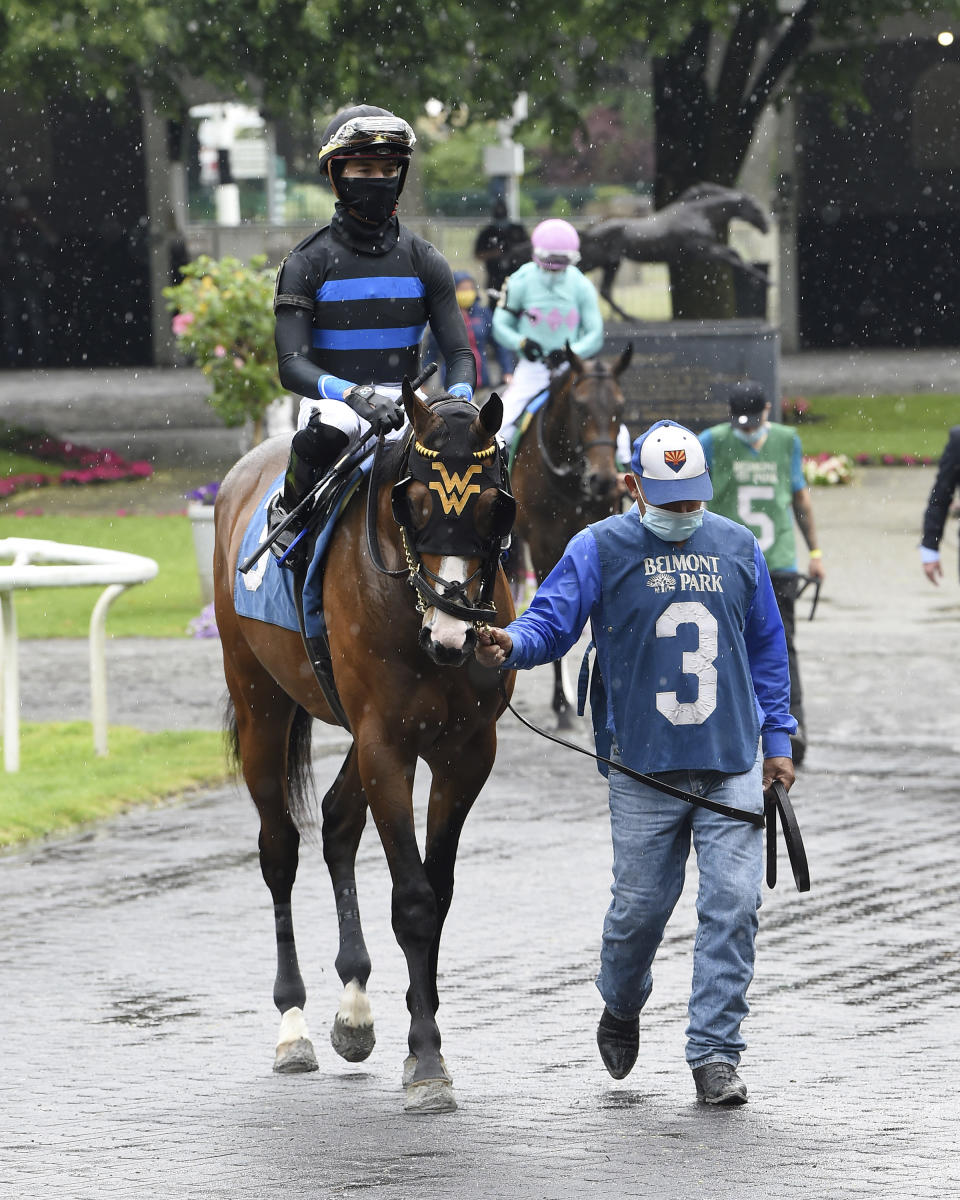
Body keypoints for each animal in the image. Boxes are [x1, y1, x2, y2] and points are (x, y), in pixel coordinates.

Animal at [212, 384, 518, 1113]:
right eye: (417, 502)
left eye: (494, 503)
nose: (453, 632)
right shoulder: (387, 745)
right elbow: (413, 899)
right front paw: (428, 1059)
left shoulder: (465, 753)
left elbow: (438, 892)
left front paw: (419, 1038)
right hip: (261, 705)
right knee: (279, 849)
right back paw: (293, 1026)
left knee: (338, 821)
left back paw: (353, 1006)